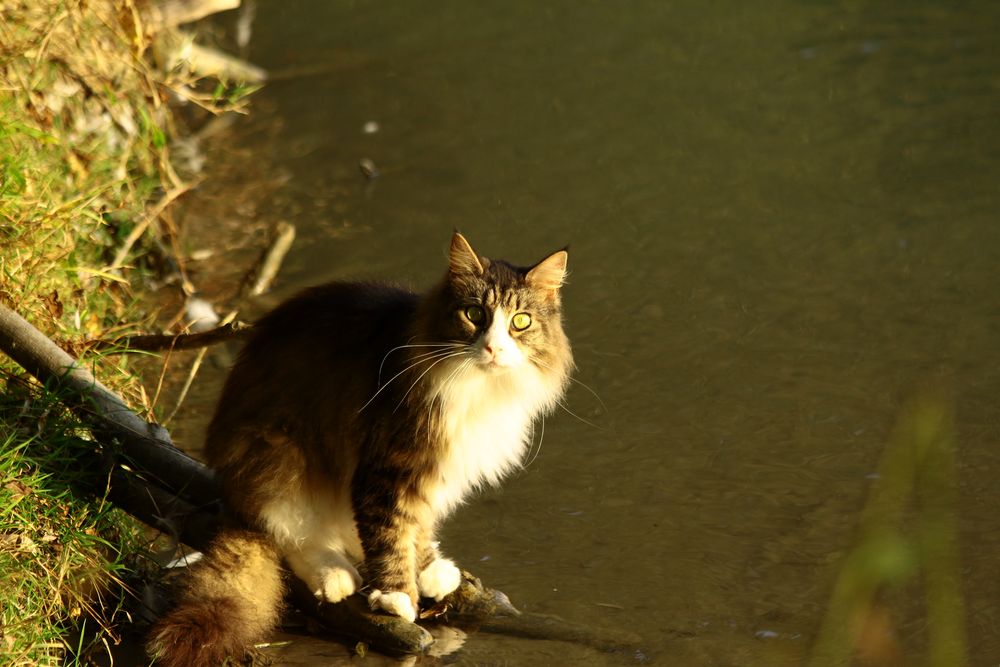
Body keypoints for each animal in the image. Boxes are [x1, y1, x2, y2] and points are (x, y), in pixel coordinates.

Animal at [145, 232, 576, 664]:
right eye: (474, 314)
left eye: (520, 321)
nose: (492, 349)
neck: (477, 386)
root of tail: (232, 497)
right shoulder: (387, 464)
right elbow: (390, 531)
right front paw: (396, 595)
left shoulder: (431, 471)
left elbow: (417, 524)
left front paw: (428, 568)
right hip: (280, 457)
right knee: (287, 531)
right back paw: (333, 574)